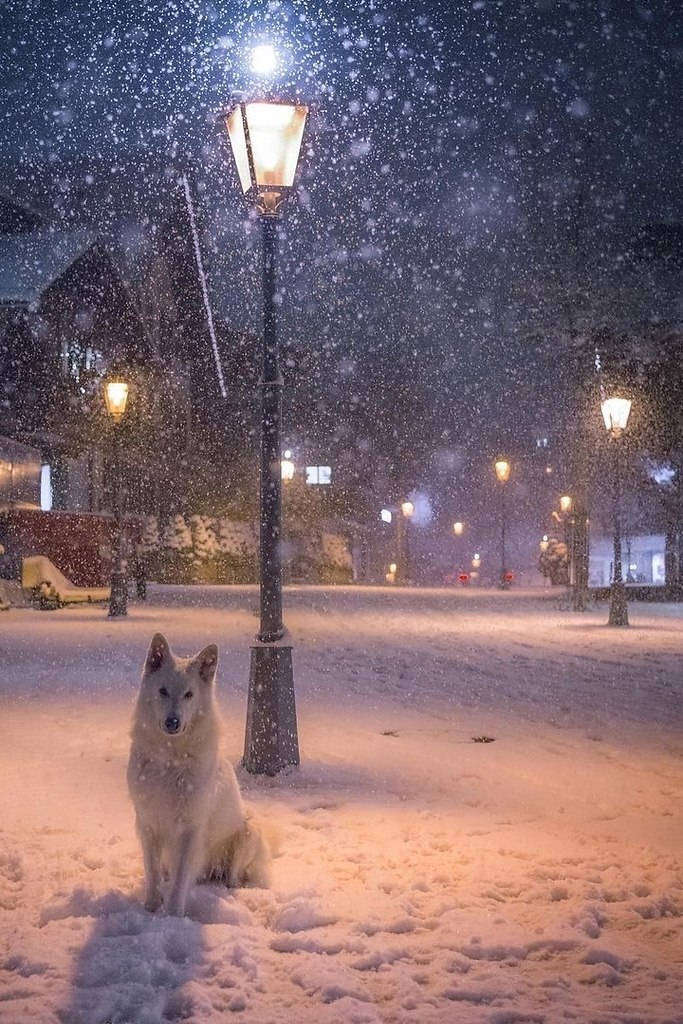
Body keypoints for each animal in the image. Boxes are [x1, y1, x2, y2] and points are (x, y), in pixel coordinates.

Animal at [127, 630, 270, 913]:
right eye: (163, 691)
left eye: (189, 694)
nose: (173, 722)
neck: (169, 759)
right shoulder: (147, 824)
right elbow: (152, 872)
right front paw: (151, 907)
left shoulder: (189, 830)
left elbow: (180, 880)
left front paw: (173, 916)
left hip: (247, 833)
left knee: (233, 877)